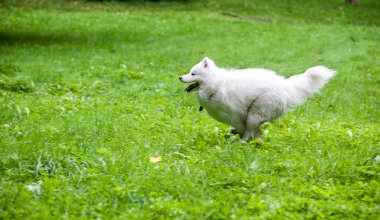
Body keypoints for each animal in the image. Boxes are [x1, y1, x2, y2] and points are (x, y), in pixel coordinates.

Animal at [178, 57, 336, 141]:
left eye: (193, 74)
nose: (180, 77)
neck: (215, 85)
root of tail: (285, 87)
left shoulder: (237, 116)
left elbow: (244, 130)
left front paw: (241, 137)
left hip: (254, 113)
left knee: (251, 132)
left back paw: (241, 143)